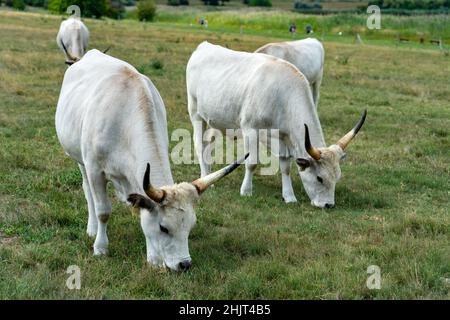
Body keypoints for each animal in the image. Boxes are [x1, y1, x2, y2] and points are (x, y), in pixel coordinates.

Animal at [56, 50, 246, 272]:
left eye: (191, 226)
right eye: (163, 227)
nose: (184, 264)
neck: (123, 123)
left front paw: (153, 258)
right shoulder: (95, 169)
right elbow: (103, 210)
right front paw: (100, 248)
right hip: (80, 160)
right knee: (88, 193)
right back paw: (92, 229)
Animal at [186, 41, 366, 208]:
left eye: (337, 176)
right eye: (319, 178)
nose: (328, 205)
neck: (282, 95)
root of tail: (204, 46)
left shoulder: (283, 136)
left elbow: (285, 166)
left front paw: (289, 196)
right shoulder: (250, 129)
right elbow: (251, 163)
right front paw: (246, 191)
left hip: (214, 120)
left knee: (208, 144)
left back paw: (208, 175)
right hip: (196, 113)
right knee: (199, 145)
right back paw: (206, 178)